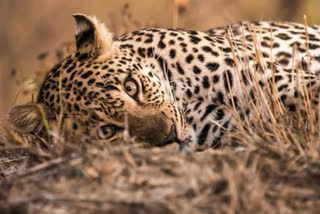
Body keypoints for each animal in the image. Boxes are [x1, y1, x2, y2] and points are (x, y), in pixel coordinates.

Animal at [6, 13, 320, 150]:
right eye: (107, 131)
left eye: (131, 87)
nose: (169, 136)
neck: (185, 94)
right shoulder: (235, 125)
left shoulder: (271, 79)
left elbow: (312, 91)